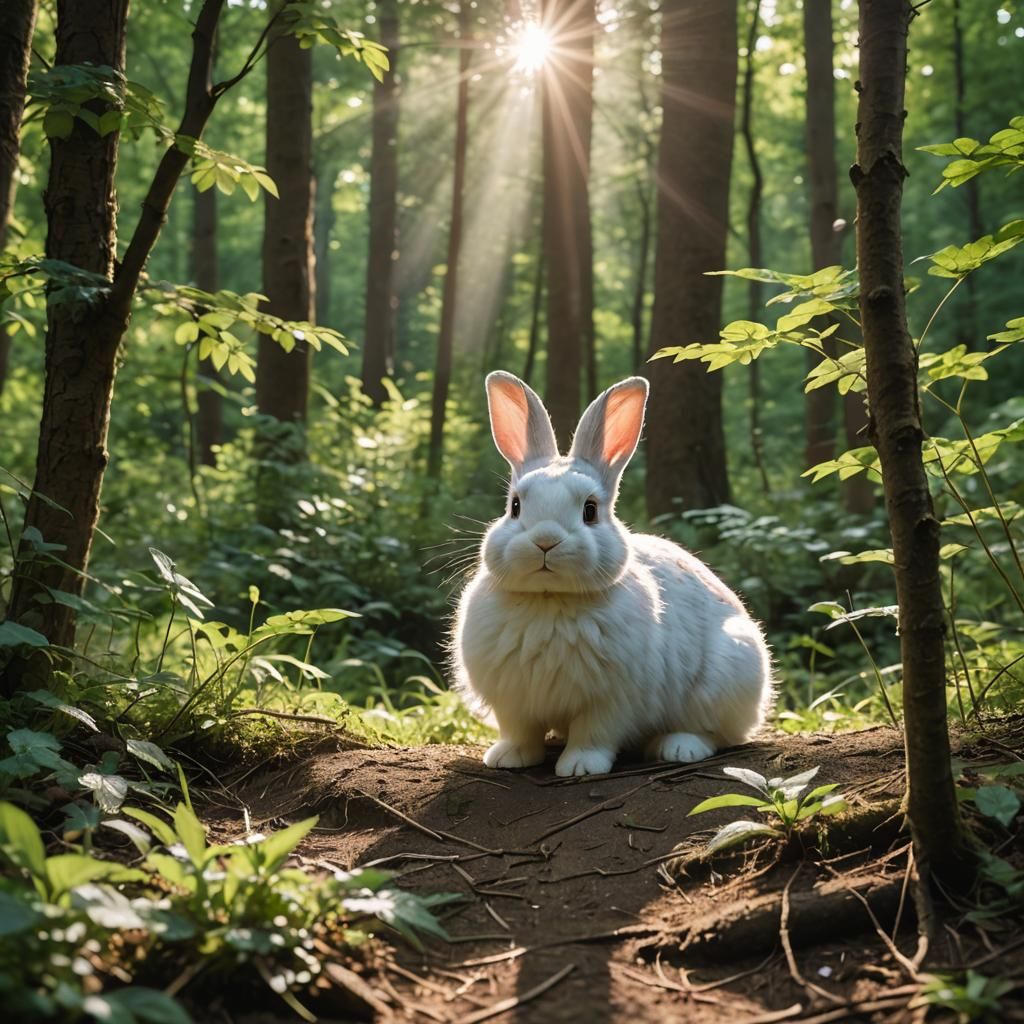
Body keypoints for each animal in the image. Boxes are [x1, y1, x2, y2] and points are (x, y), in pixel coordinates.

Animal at [452, 371, 773, 777]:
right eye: (515, 506)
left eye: (590, 510)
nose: (546, 541)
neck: (549, 599)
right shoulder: (513, 701)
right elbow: (519, 732)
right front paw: (508, 758)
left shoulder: (611, 701)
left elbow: (594, 734)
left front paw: (579, 767)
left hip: (727, 674)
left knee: (716, 732)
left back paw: (678, 748)